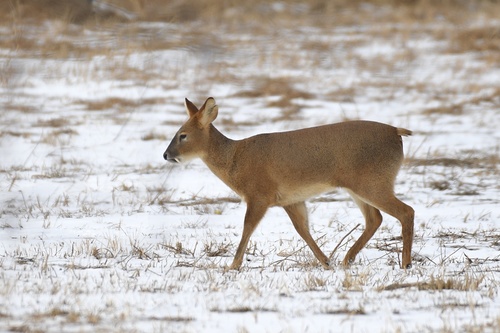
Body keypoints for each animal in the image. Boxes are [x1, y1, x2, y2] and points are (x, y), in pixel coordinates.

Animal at [163, 96, 414, 270]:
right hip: (358, 185)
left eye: (183, 135)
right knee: (375, 218)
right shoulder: (290, 199)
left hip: (372, 181)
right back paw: (347, 259)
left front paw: (232, 266)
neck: (235, 159)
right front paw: (325, 261)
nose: (166, 155)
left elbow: (247, 228)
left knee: (406, 211)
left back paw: (405, 263)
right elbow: (302, 229)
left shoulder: (259, 194)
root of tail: (397, 132)